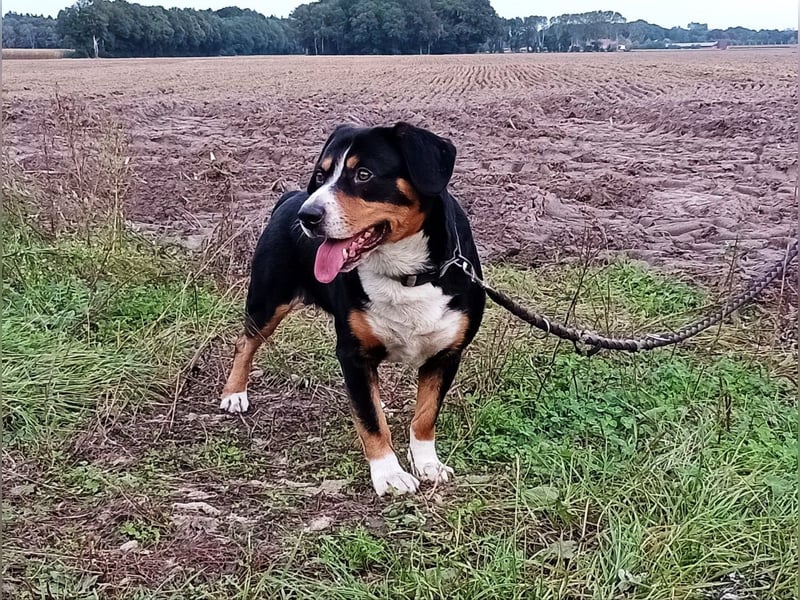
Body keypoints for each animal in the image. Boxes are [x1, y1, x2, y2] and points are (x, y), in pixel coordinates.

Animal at [219, 122, 484, 496]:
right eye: (321, 174)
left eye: (363, 174)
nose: (308, 216)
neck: (405, 275)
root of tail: (289, 200)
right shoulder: (352, 354)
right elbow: (371, 421)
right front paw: (389, 474)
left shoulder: (446, 354)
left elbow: (425, 415)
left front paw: (427, 463)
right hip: (268, 300)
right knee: (245, 342)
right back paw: (234, 394)